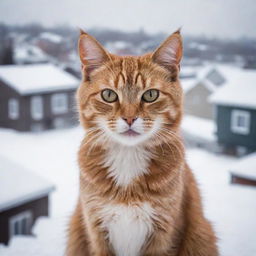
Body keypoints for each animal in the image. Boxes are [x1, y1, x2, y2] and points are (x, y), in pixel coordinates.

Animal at [66, 29, 218, 256]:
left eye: (151, 95)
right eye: (108, 95)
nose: (129, 118)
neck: (128, 158)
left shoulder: (165, 235)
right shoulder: (95, 232)